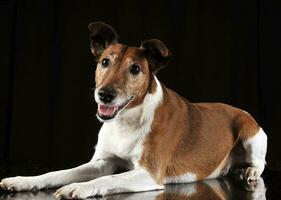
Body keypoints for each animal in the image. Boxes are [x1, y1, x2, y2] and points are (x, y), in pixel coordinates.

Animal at [0, 21, 266, 198]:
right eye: (104, 62)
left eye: (135, 69)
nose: (105, 94)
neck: (127, 121)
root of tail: (242, 111)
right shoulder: (102, 162)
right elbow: (59, 172)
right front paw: (23, 181)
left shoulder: (149, 173)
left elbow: (108, 178)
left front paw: (78, 187)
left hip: (250, 133)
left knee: (259, 164)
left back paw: (248, 172)